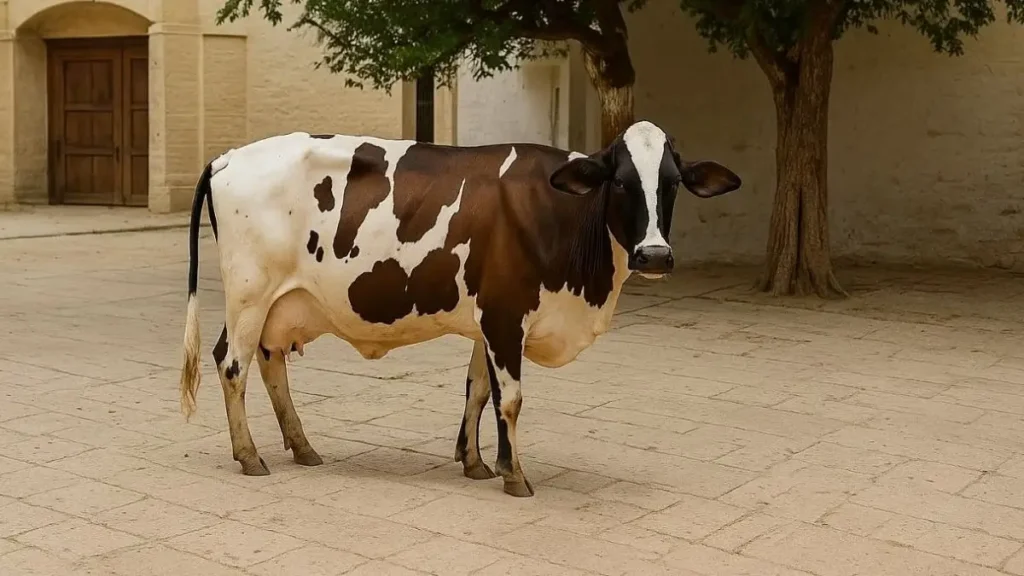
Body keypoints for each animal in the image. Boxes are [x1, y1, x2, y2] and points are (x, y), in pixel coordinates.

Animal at [178, 120, 741, 497]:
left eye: (672, 182)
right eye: (620, 181)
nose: (655, 255)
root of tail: (229, 156)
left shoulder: (486, 321)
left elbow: (476, 390)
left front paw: (474, 462)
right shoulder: (505, 314)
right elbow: (510, 398)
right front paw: (516, 475)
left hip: (280, 303)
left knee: (270, 364)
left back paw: (302, 447)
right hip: (249, 292)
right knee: (232, 364)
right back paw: (250, 456)